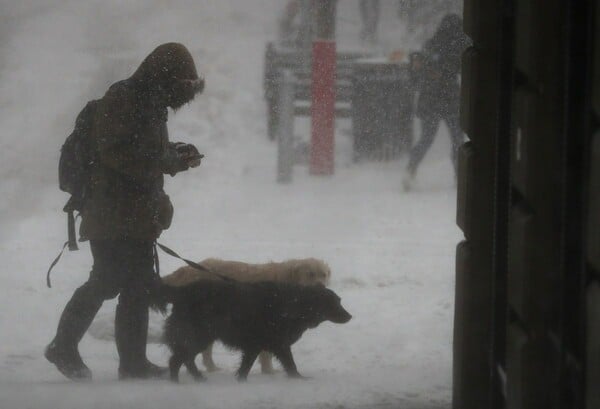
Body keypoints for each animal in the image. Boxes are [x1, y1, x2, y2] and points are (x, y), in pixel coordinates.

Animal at [162, 258, 330, 372]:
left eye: (323, 274)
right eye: (310, 274)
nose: (321, 287)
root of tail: (186, 269)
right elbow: (266, 354)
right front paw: (269, 371)